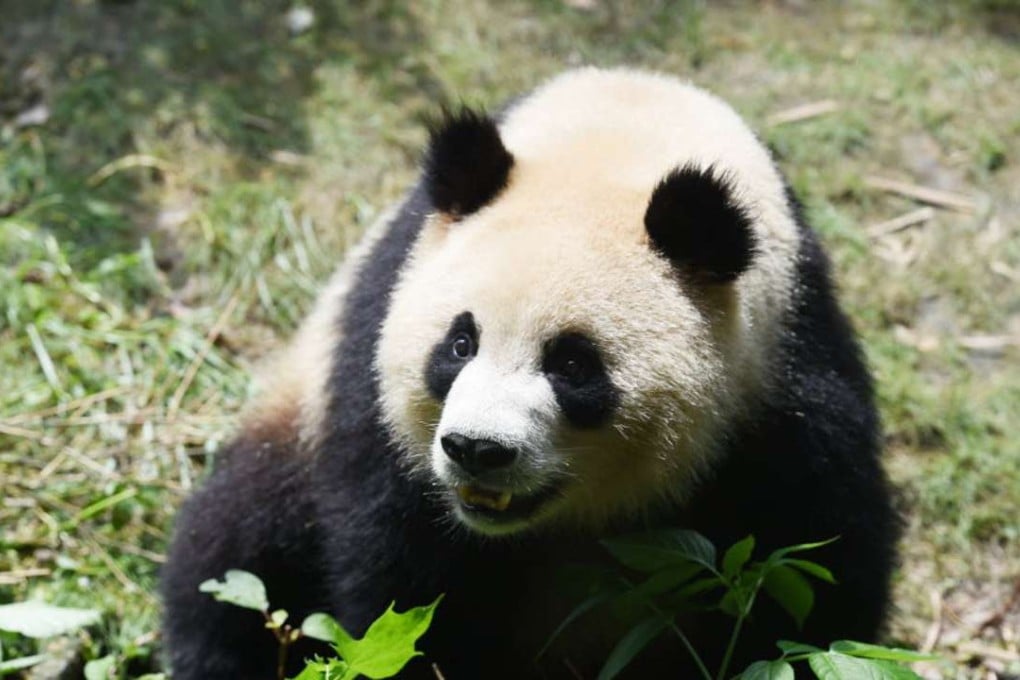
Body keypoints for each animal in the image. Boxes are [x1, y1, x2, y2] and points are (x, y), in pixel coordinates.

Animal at [161, 67, 898, 679]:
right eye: (460, 344)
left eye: (572, 365)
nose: (476, 450)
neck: (616, 145)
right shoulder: (374, 354)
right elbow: (402, 579)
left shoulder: (782, 378)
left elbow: (814, 580)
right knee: (236, 551)